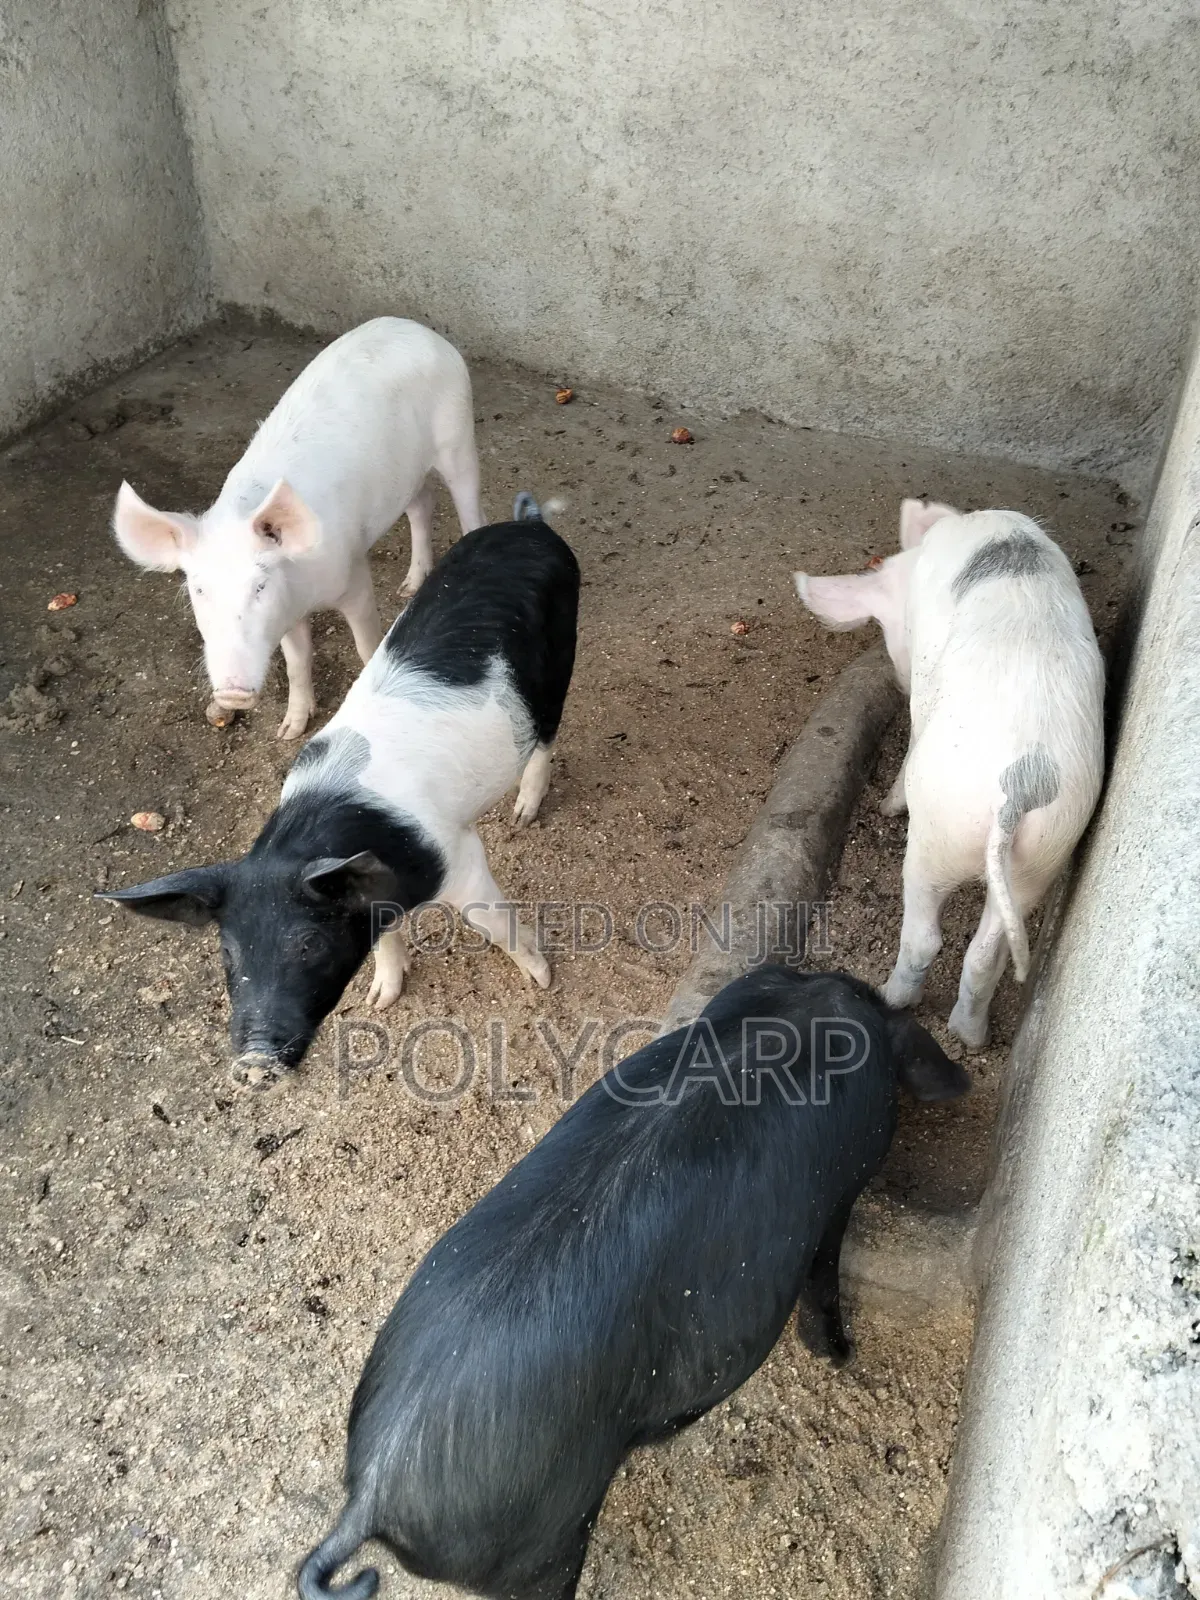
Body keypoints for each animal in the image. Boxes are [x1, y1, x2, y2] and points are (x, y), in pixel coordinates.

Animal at [98, 497, 578, 1088]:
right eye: (228, 952)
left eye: (309, 943)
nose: (255, 1063)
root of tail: (530, 527)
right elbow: (387, 937)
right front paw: (380, 1000)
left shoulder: (462, 856)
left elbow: (496, 925)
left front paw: (544, 977)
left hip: (559, 658)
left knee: (547, 736)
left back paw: (523, 814)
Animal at [111, 317, 485, 739]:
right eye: (199, 589)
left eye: (259, 585)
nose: (232, 694)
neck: (306, 594)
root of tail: (416, 327)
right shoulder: (288, 612)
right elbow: (297, 661)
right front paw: (289, 730)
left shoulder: (354, 573)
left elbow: (366, 644)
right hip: (406, 475)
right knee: (422, 504)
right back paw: (408, 588)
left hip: (458, 434)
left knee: (468, 501)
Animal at [296, 964, 970, 1600]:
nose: (961, 1079)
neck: (815, 1004)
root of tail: (369, 1497)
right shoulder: (841, 1190)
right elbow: (825, 1273)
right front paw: (840, 1355)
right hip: (542, 1546)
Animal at [795, 500, 1104, 1048]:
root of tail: (1017, 789)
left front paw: (886, 806)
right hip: (1045, 851)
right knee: (986, 952)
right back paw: (970, 1036)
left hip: (937, 838)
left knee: (924, 936)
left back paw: (890, 996)